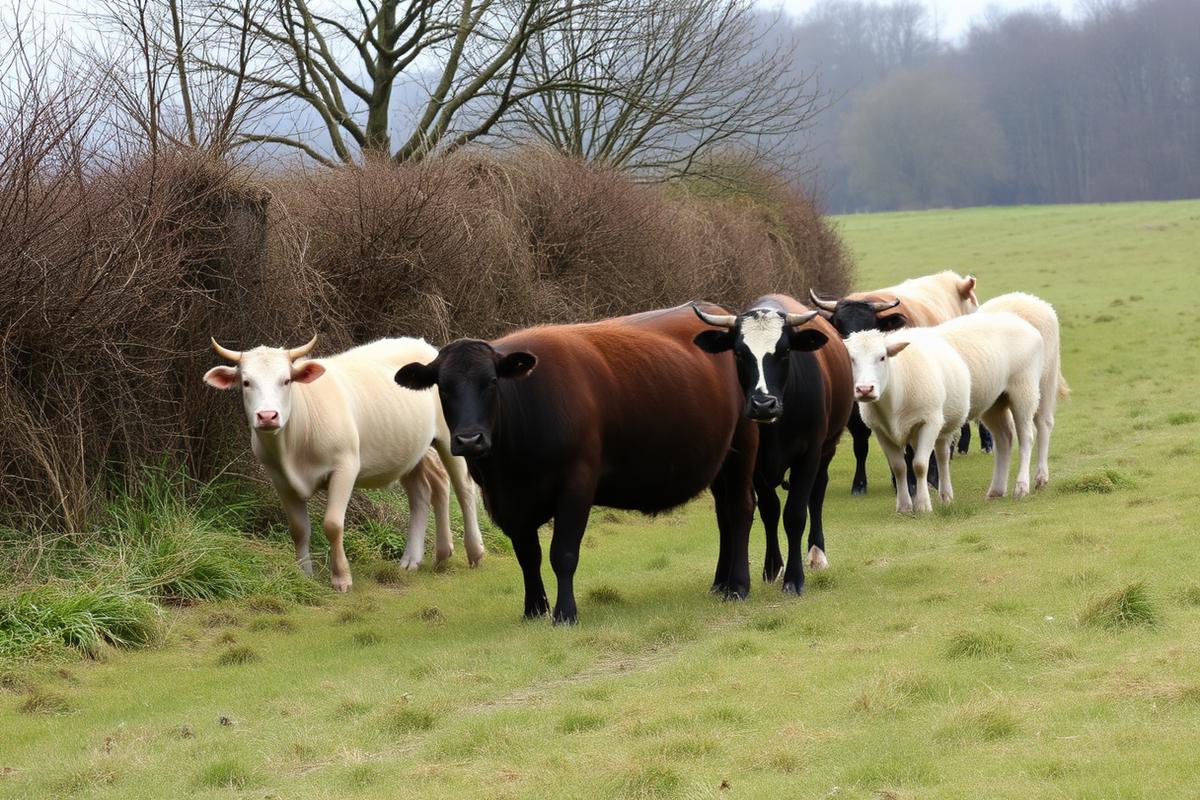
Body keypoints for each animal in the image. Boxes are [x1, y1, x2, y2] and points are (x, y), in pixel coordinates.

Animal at [204, 336, 484, 591]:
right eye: (246, 382)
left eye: (286, 380)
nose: (267, 416)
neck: (292, 446)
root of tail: (424, 346)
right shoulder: (279, 479)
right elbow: (298, 529)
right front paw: (304, 575)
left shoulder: (345, 467)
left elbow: (333, 524)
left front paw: (341, 577)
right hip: (409, 447)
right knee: (426, 490)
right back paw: (423, 557)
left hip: (448, 437)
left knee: (463, 488)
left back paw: (473, 551)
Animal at [394, 304, 759, 624]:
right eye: (443, 387)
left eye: (493, 381)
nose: (470, 439)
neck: (510, 466)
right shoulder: (507, 502)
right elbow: (528, 555)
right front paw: (533, 610)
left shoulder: (577, 483)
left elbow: (563, 553)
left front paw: (565, 613)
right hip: (721, 460)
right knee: (724, 515)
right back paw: (721, 583)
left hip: (744, 442)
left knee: (740, 508)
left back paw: (738, 586)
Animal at [691, 296, 852, 595]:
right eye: (739, 353)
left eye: (785, 350)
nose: (763, 404)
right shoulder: (754, 465)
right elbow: (770, 509)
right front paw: (772, 567)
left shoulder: (809, 455)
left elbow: (795, 514)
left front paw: (794, 578)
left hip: (828, 449)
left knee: (817, 494)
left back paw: (817, 554)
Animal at [844, 329, 971, 512]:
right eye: (851, 359)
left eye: (882, 357)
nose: (865, 389)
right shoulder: (881, 431)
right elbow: (899, 467)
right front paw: (904, 506)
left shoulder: (929, 422)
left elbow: (920, 465)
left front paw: (923, 505)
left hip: (944, 427)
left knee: (942, 456)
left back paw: (946, 495)